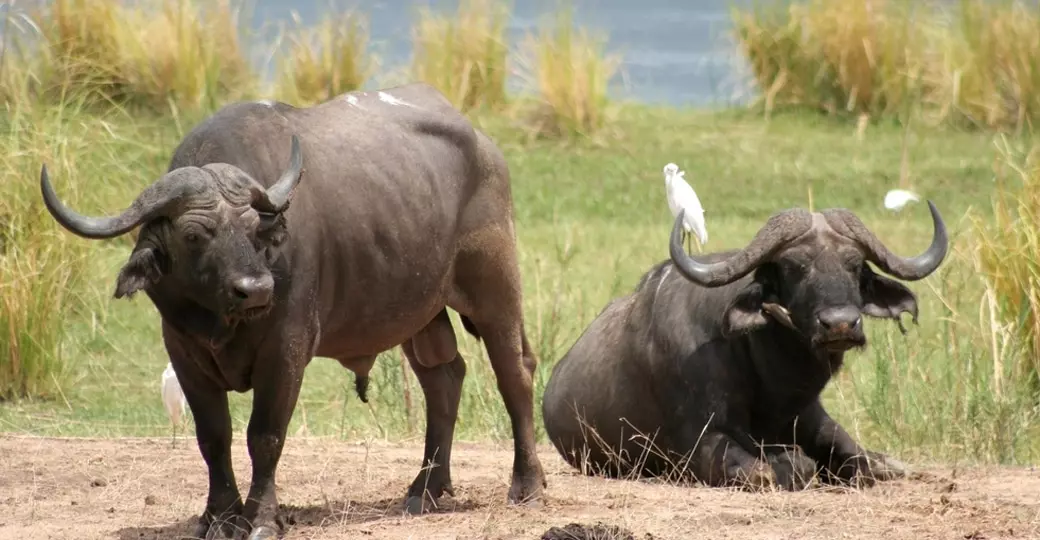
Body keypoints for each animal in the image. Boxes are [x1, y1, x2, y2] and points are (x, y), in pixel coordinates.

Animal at [40, 83, 546, 539]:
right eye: (194, 235)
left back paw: (527, 484)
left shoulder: (285, 350)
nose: (257, 289)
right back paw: (426, 489)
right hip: (420, 312)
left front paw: (263, 518)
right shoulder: (183, 352)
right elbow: (213, 436)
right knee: (443, 378)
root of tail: (482, 143)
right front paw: (219, 516)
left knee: (514, 371)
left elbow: (265, 435)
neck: (224, 320)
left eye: (253, 231)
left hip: (495, 286)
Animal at [542, 203, 948, 490]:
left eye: (854, 264)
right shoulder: (703, 444)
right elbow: (786, 467)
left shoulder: (815, 419)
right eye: (793, 266)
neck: (773, 387)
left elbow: (869, 464)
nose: (840, 324)